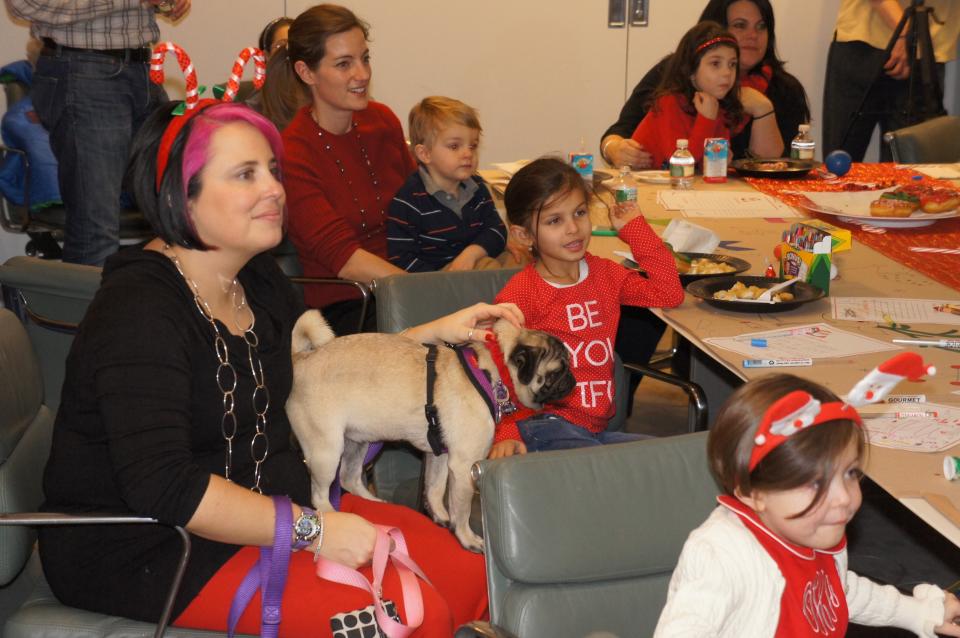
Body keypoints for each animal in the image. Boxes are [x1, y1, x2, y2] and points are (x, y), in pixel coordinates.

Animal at [284, 310, 568, 552]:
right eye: (556, 373)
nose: (572, 380)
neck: (492, 366)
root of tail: (300, 359)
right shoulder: (463, 466)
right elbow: (461, 509)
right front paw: (466, 537)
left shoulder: (440, 453)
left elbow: (435, 488)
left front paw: (440, 515)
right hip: (327, 451)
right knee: (320, 494)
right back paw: (333, 516)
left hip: (358, 441)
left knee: (349, 478)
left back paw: (375, 502)